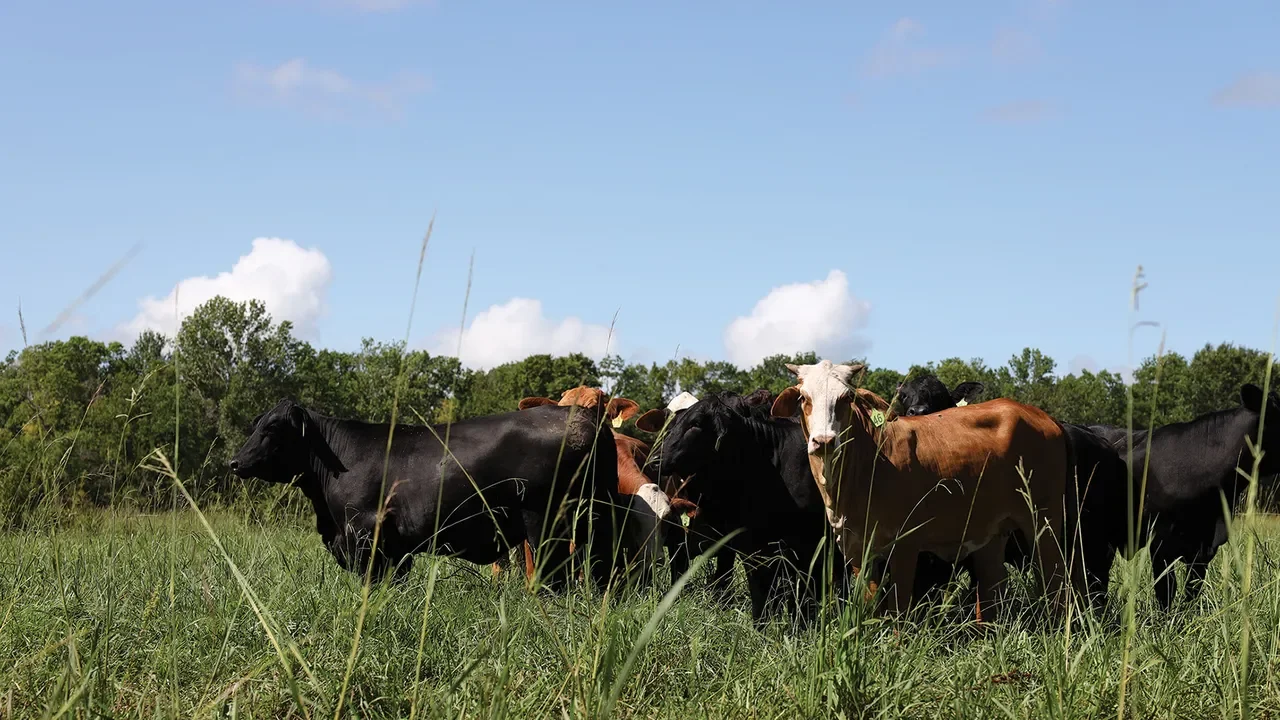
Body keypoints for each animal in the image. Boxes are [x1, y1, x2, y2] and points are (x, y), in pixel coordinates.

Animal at [229, 398, 628, 591]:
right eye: (256, 424)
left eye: (273, 428)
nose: (235, 462)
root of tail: (586, 419)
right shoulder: (396, 547)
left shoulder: (365, 533)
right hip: (594, 516)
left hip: (545, 520)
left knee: (554, 576)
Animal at [639, 389, 847, 626]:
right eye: (670, 425)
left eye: (696, 424)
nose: (655, 459)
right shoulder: (750, 545)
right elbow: (758, 591)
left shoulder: (806, 544)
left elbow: (802, 596)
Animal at [771, 360, 1082, 619]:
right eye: (804, 398)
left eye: (846, 397)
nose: (823, 441)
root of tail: (1045, 418)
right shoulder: (858, 550)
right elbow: (871, 606)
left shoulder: (906, 545)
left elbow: (898, 607)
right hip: (993, 533)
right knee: (992, 589)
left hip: (1043, 521)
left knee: (1055, 581)